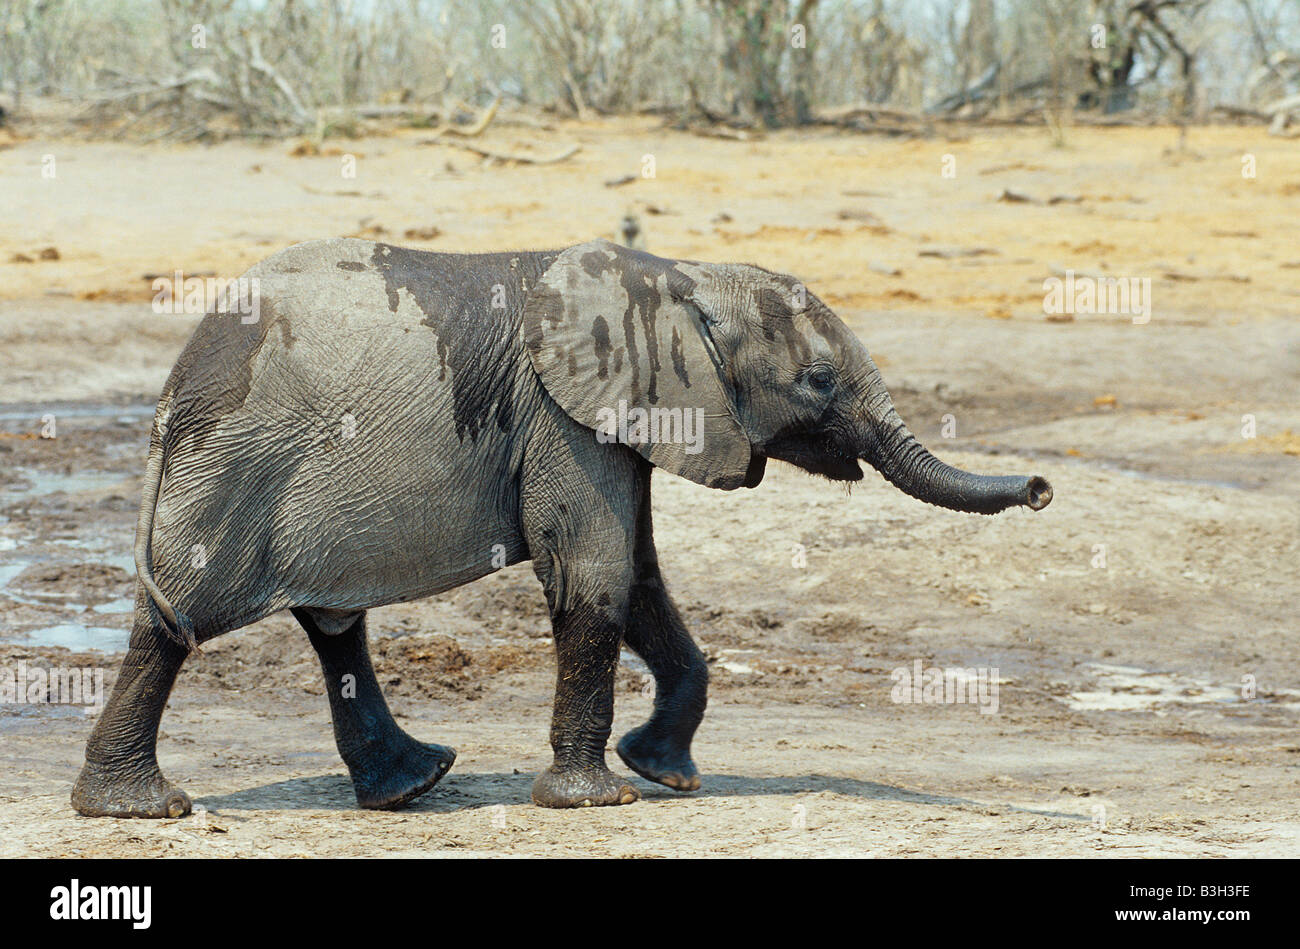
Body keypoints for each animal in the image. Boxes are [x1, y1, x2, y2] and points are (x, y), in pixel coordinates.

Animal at [71, 235, 1050, 811]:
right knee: (175, 620)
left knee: (330, 622)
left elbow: (643, 576)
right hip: (238, 460)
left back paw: (413, 783)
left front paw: (666, 772)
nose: (1042, 488)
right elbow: (596, 571)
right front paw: (599, 799)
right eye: (817, 381)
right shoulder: (563, 417)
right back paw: (142, 808)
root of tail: (171, 395)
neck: (679, 277)